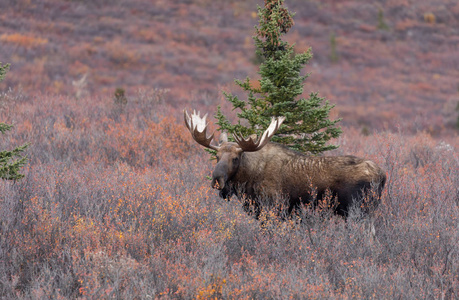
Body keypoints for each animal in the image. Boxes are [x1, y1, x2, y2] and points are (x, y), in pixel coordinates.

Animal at [185, 109, 386, 218]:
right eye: (216, 156)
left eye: (235, 158)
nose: (217, 179)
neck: (247, 181)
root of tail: (382, 176)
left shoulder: (274, 208)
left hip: (359, 210)